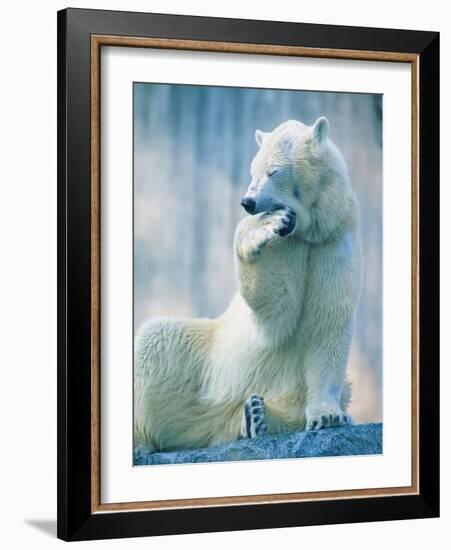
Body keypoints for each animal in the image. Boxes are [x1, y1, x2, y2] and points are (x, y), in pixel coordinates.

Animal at [134, 118, 364, 454]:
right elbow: (275, 307)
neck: (310, 232)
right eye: (252, 171)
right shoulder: (288, 246)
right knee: (154, 340)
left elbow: (328, 324)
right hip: (203, 358)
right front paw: (264, 227)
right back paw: (142, 439)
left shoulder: (333, 244)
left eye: (273, 171)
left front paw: (328, 416)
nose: (248, 201)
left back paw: (255, 417)